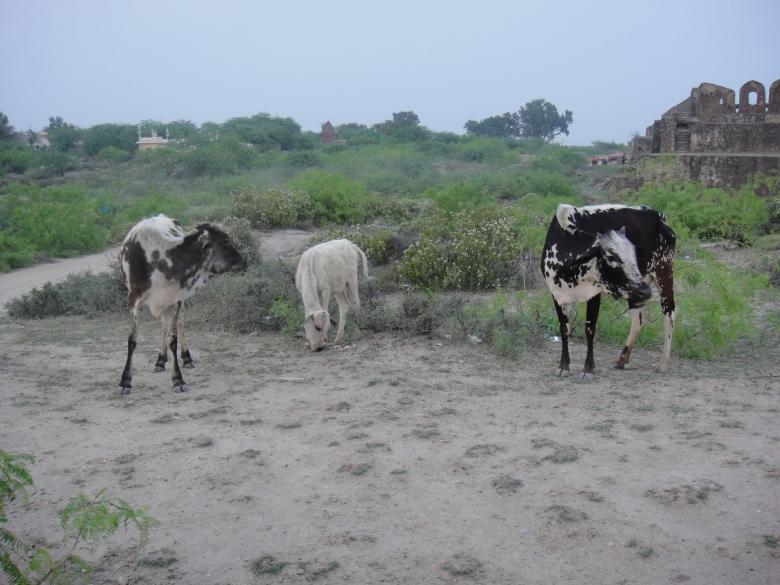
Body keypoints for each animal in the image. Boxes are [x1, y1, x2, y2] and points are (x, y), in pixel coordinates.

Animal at [118, 214, 246, 394]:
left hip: (177, 303)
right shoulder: (133, 300)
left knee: (179, 324)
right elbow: (132, 340)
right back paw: (160, 360)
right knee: (164, 326)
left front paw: (177, 379)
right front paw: (125, 381)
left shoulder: (176, 298)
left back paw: (185, 357)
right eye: (226, 242)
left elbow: (173, 338)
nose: (244, 261)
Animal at [541, 204, 676, 380]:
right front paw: (563, 366)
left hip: (663, 273)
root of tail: (656, 214)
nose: (645, 291)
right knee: (638, 319)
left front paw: (588, 369)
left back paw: (663, 363)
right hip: (636, 289)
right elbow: (564, 328)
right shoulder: (556, 294)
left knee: (670, 313)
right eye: (612, 257)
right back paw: (622, 359)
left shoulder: (594, 294)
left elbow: (590, 330)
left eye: (634, 255)